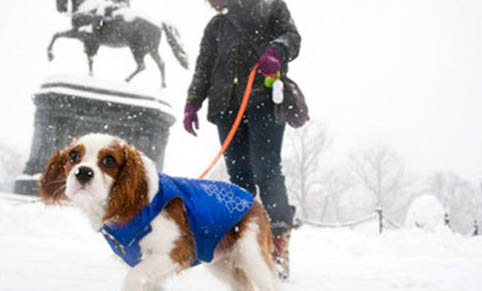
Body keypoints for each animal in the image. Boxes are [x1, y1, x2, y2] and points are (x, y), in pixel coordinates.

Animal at [39, 134, 280, 291]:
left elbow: (131, 278)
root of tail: (255, 200)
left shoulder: (176, 251)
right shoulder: (154, 271)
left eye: (109, 160)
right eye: (73, 156)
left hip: (252, 255)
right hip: (221, 263)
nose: (83, 172)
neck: (126, 208)